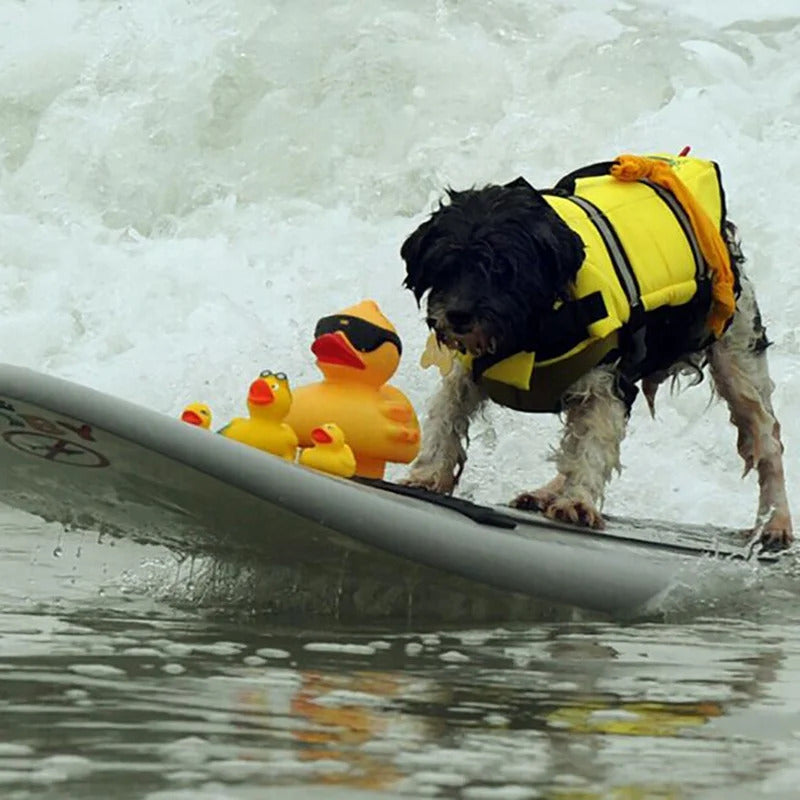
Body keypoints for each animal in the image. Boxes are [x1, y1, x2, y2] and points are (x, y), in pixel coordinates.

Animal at [400, 152, 792, 548]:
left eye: (503, 270)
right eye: (445, 266)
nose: (457, 316)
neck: (532, 331)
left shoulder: (606, 383)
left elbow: (592, 444)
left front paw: (577, 501)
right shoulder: (469, 370)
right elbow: (448, 412)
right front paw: (428, 473)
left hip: (736, 354)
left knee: (766, 436)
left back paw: (776, 522)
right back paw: (545, 492)